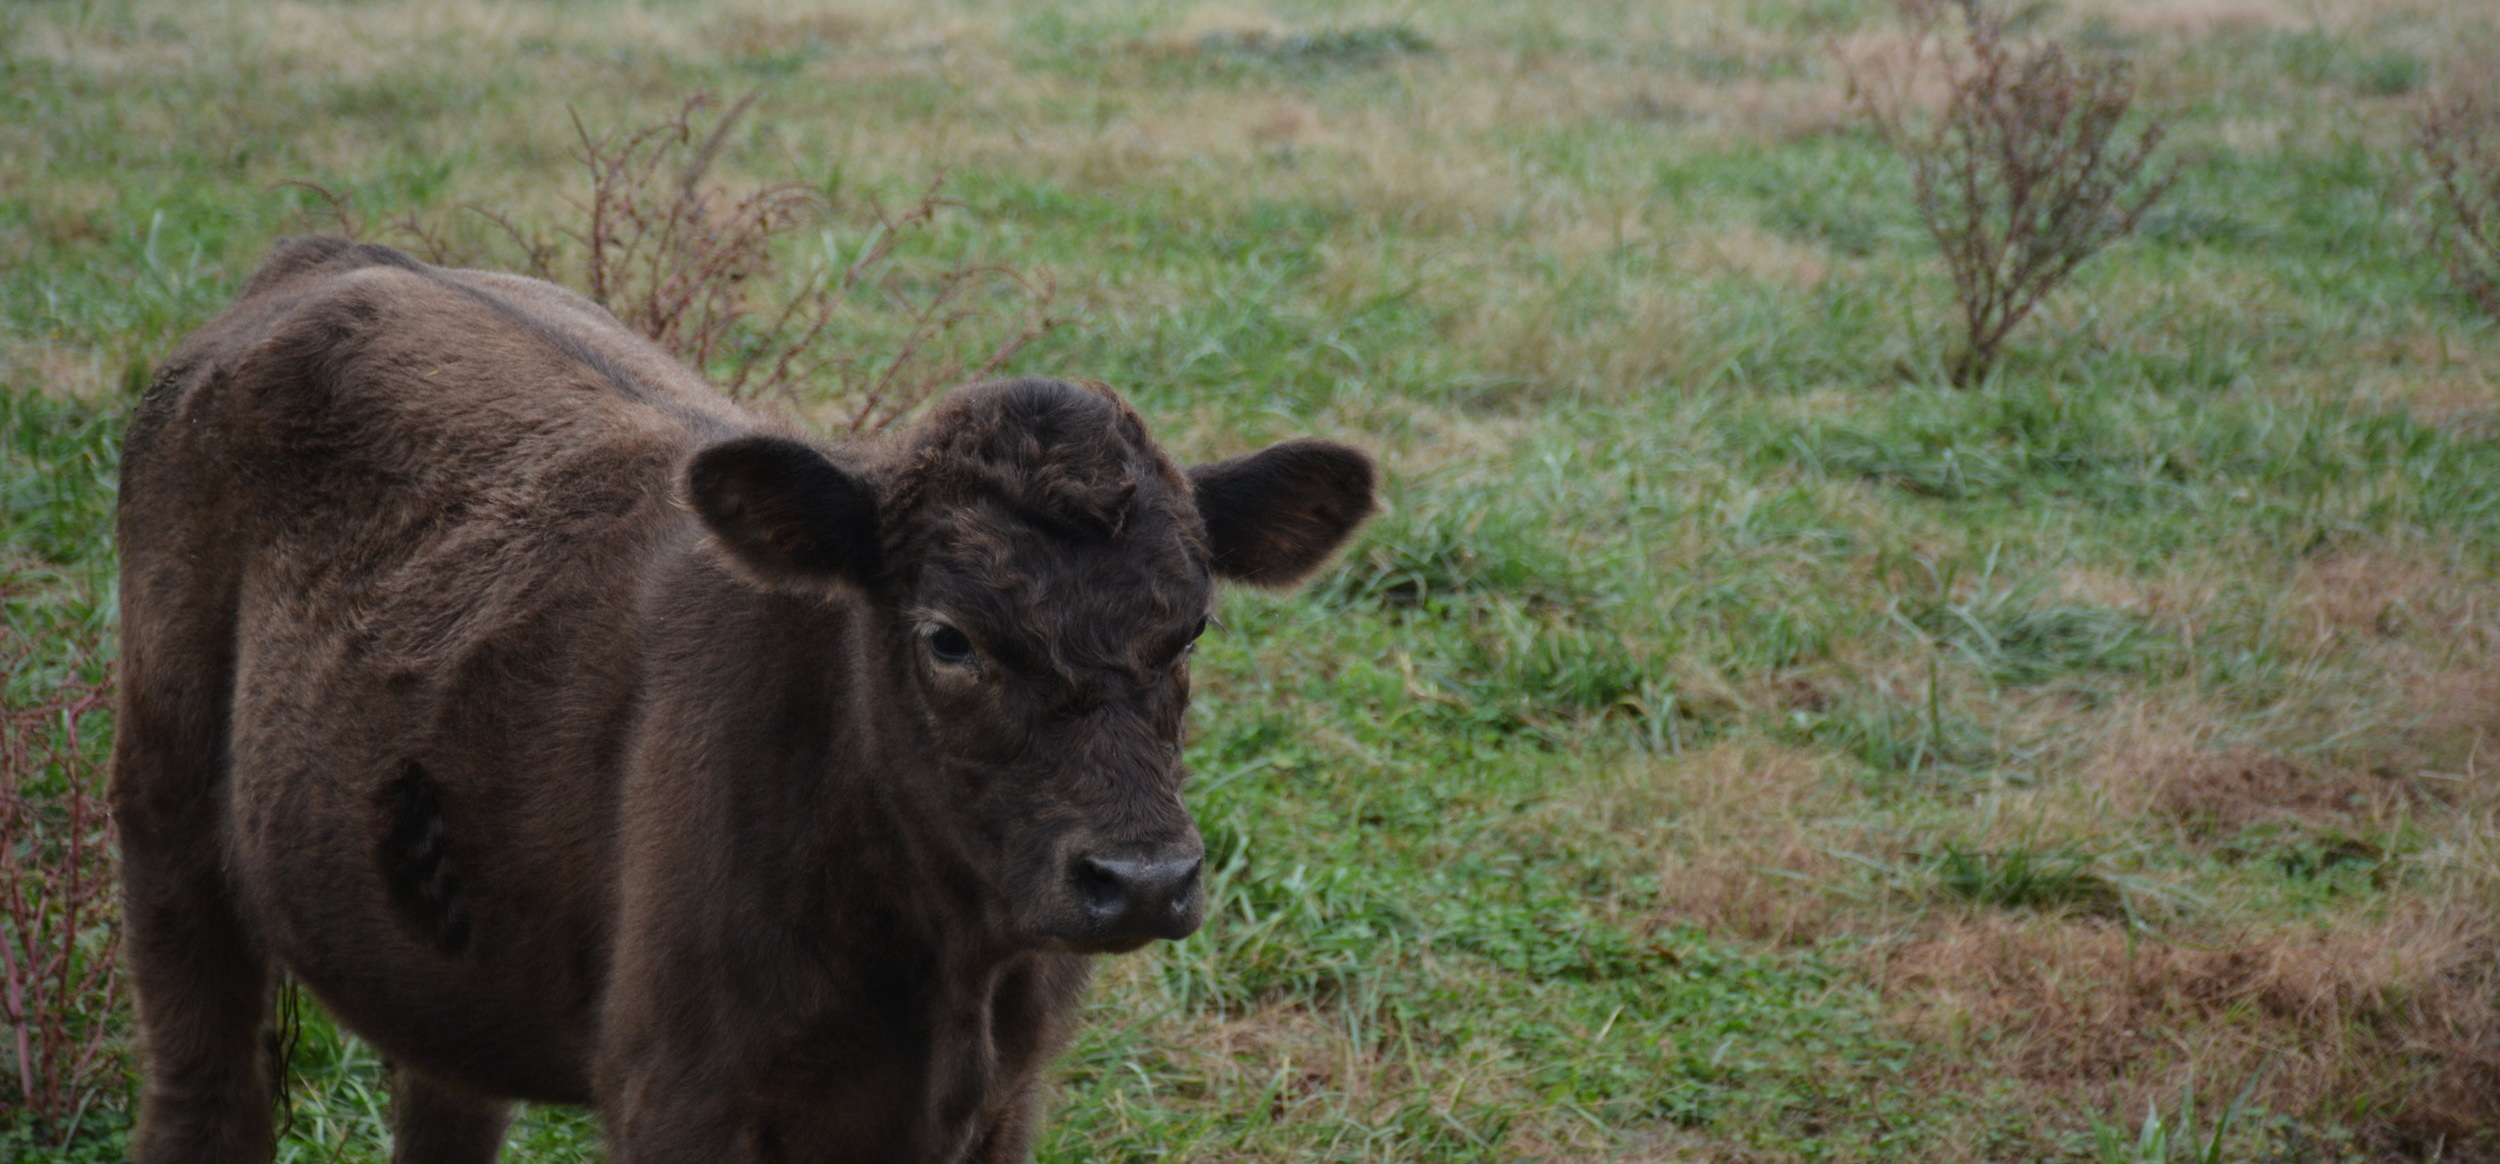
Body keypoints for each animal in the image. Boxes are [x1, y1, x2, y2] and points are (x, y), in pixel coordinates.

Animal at [111, 237, 1377, 1163]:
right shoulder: (679, 1091)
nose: (1144, 880)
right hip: (168, 833)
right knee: (204, 1095)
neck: (945, 969)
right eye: (948, 639)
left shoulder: (1005, 1103)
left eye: (1190, 628)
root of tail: (337, 260)